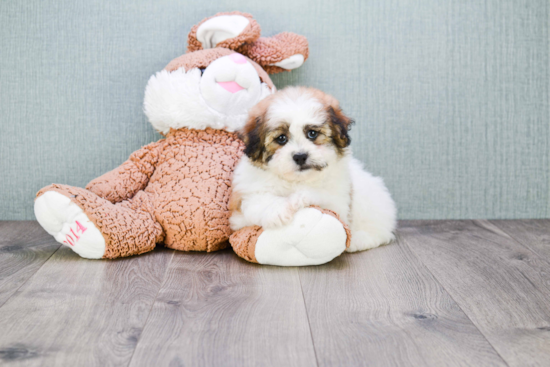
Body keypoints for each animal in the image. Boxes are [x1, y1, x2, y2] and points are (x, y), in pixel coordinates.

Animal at [230, 86, 396, 253]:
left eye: (312, 133)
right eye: (281, 139)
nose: (300, 156)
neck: (296, 181)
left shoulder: (338, 200)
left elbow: (322, 196)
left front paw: (299, 198)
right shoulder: (242, 206)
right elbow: (257, 201)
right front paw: (277, 210)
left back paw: (360, 239)